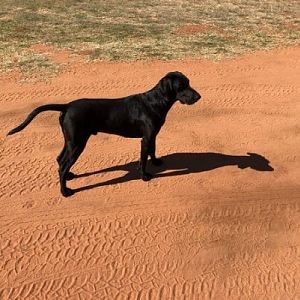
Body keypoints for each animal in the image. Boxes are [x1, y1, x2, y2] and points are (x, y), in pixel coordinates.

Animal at [7, 71, 202, 196]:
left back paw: (69, 176)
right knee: (62, 165)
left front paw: (156, 162)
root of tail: (67, 106)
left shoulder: (152, 136)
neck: (155, 101)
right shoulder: (145, 139)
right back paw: (65, 191)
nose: (198, 97)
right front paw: (144, 176)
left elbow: (152, 151)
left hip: (70, 140)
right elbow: (143, 158)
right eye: (181, 86)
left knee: (59, 159)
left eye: (189, 82)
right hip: (77, 143)